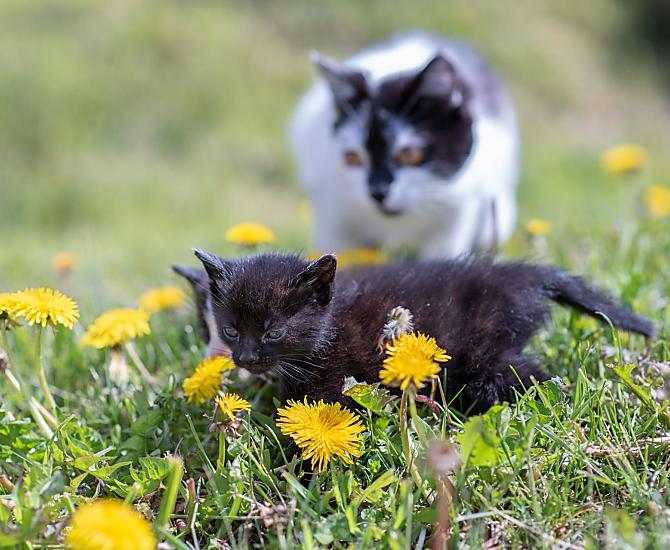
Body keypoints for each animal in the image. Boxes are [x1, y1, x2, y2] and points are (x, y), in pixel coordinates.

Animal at [192, 249, 654, 414]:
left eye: (272, 333)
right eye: (231, 330)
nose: (246, 358)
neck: (328, 328)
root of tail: (522, 275)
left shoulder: (335, 379)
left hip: (485, 355)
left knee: (532, 378)